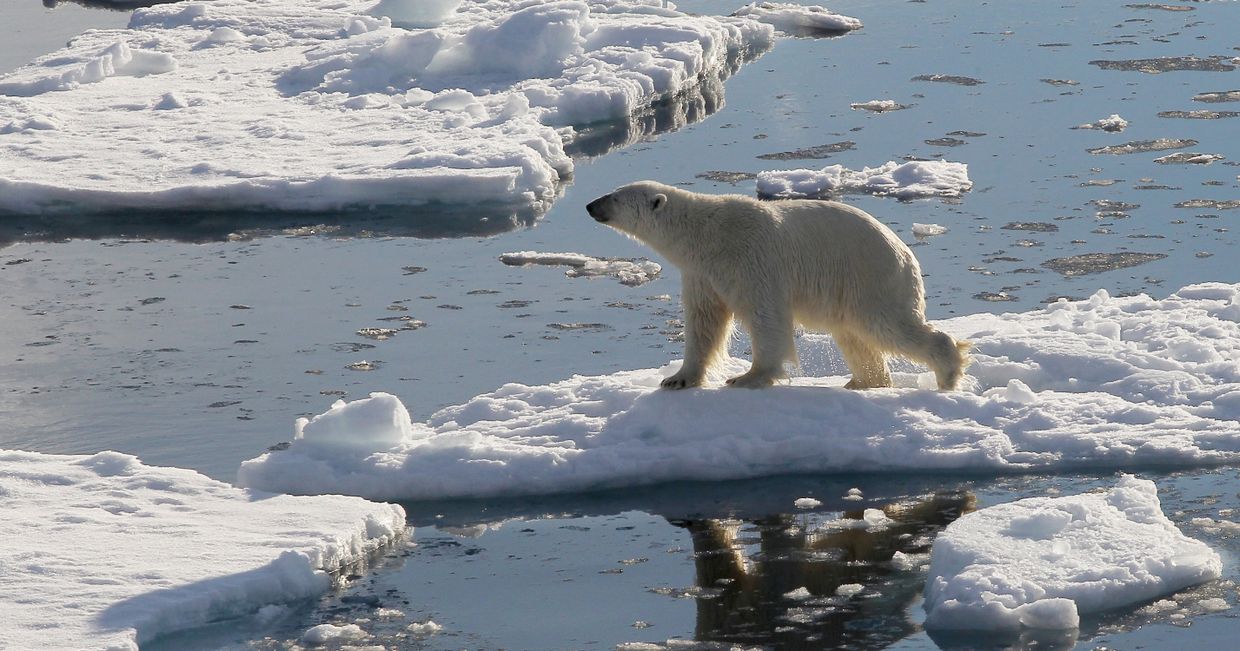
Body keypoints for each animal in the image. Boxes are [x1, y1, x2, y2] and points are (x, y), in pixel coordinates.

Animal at [586, 180, 969, 390]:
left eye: (615, 197)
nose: (590, 205)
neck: (706, 235)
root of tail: (906, 253)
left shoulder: (751, 260)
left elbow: (766, 317)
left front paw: (748, 377)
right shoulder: (702, 274)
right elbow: (704, 323)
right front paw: (677, 378)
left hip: (870, 277)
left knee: (887, 326)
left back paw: (947, 371)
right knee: (853, 335)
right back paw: (863, 380)